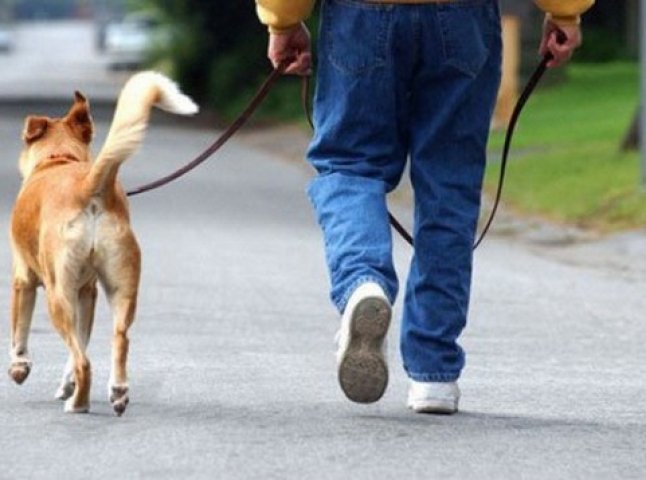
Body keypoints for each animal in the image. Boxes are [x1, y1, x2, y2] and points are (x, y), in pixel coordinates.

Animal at [7, 72, 199, 416]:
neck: (59, 159)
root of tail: (89, 186)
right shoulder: (89, 292)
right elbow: (81, 343)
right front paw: (66, 383)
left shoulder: (23, 280)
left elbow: (19, 331)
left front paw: (19, 367)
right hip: (121, 288)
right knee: (117, 339)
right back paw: (117, 391)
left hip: (58, 295)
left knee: (84, 361)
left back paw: (79, 404)